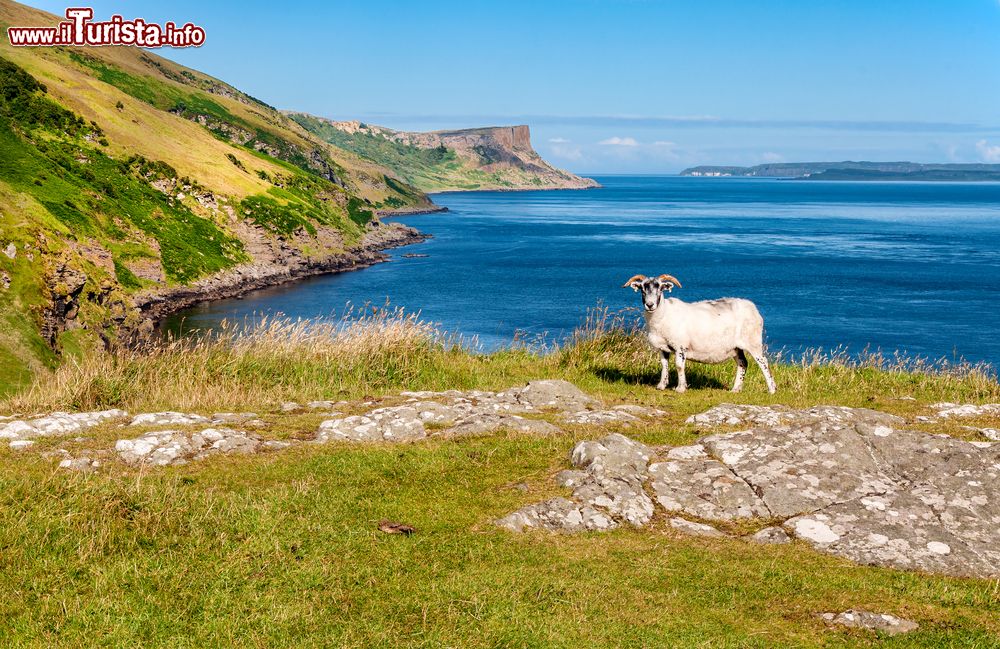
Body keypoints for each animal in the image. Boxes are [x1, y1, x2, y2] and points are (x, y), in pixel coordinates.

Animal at [620, 274, 776, 394]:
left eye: (660, 288)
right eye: (642, 289)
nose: (650, 305)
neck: (663, 315)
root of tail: (753, 308)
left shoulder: (680, 346)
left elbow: (679, 366)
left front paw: (680, 388)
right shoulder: (663, 348)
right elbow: (664, 365)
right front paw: (661, 386)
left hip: (753, 341)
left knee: (763, 362)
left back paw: (772, 389)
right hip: (736, 347)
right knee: (743, 363)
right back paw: (736, 389)